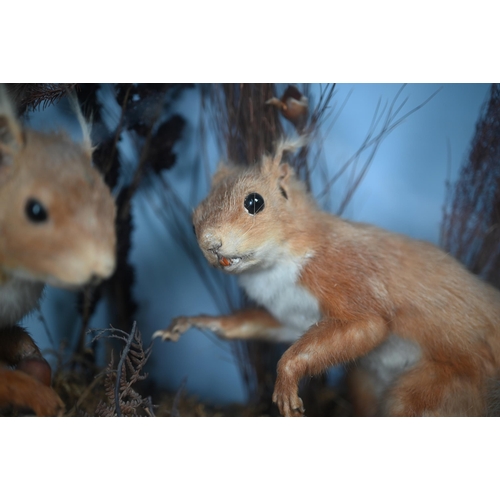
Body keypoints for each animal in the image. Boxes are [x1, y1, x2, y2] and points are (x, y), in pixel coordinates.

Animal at [154, 139, 500, 416]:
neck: (273, 272)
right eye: (193, 221)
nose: (211, 244)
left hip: (430, 391)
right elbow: (251, 325)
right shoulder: (290, 318)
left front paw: (286, 389)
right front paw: (194, 322)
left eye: (254, 201)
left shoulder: (344, 275)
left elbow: (368, 325)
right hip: (365, 381)